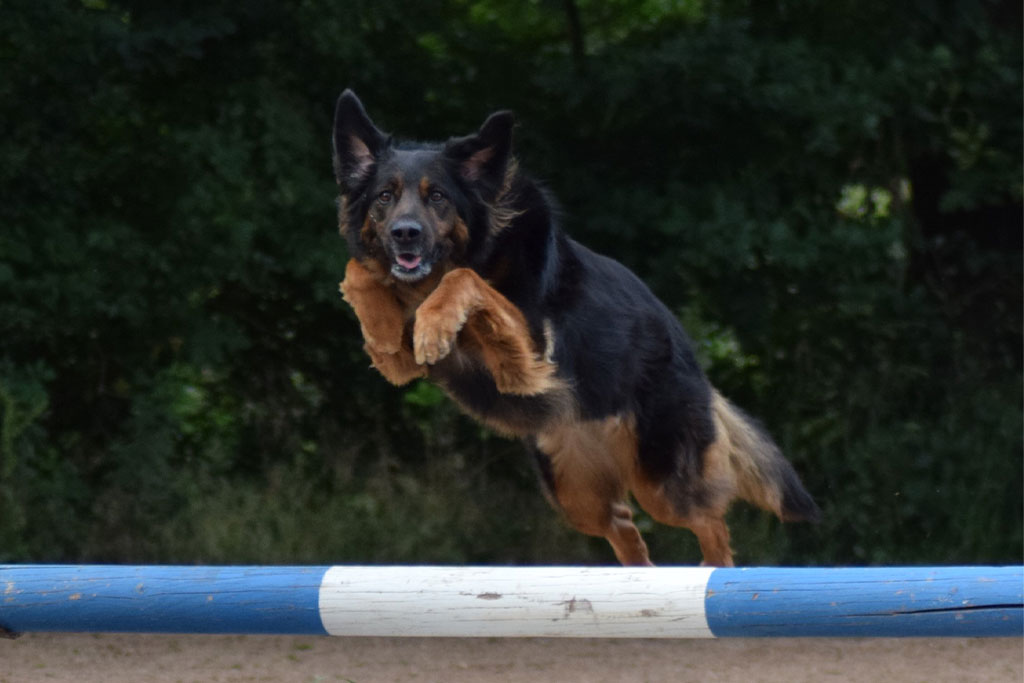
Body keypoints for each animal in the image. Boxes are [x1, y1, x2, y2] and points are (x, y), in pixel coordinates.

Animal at [335, 90, 823, 569]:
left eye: (437, 196)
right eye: (384, 197)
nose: (405, 234)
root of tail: (694, 365)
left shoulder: (529, 354)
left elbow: (466, 280)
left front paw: (433, 323)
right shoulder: (411, 360)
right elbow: (358, 272)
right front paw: (381, 330)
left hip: (664, 482)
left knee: (710, 522)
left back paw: (711, 572)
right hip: (576, 495)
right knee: (624, 527)